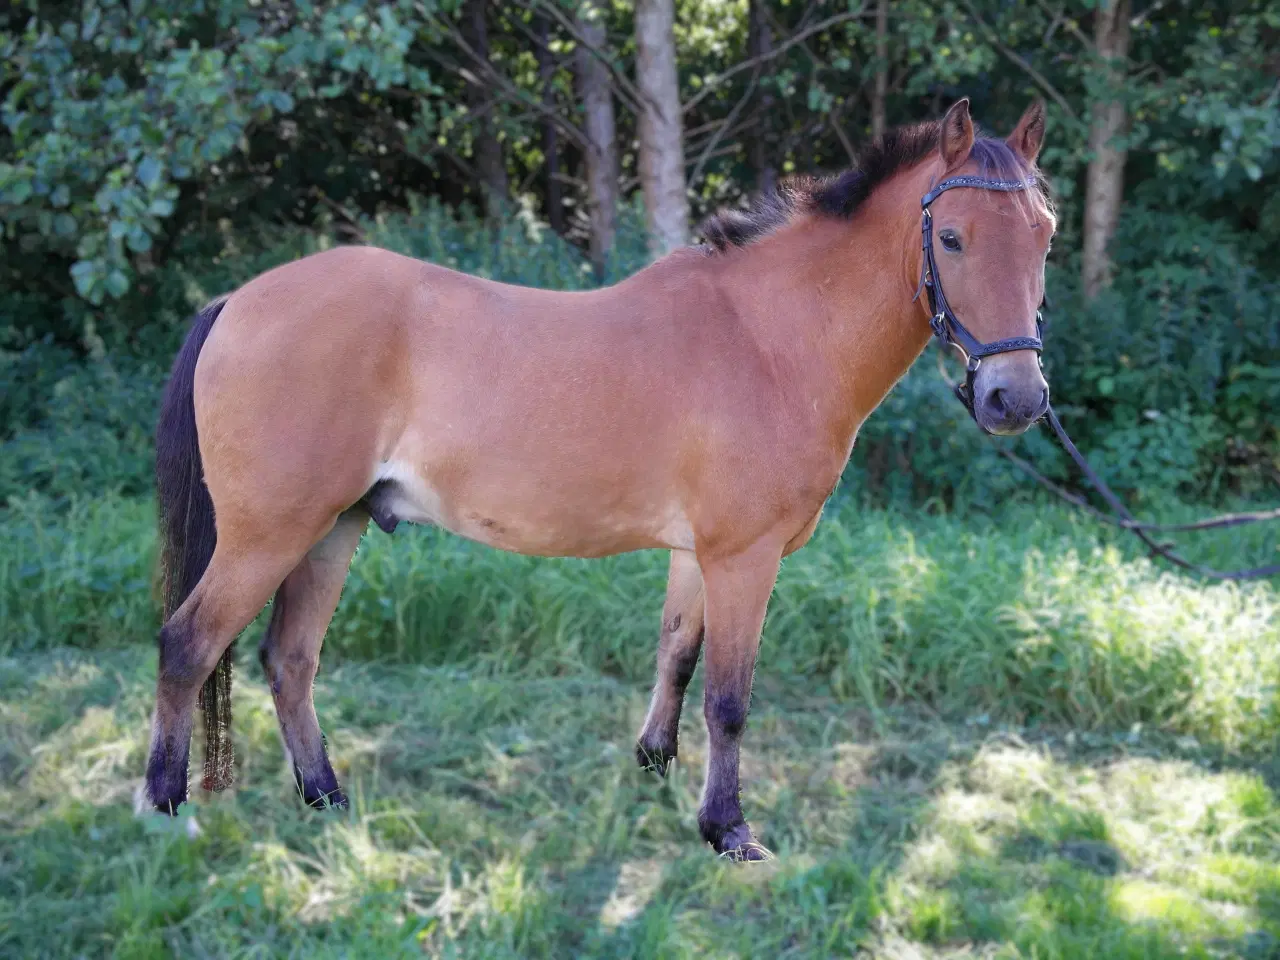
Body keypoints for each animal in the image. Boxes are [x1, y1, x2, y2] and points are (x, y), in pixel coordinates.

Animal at [145, 97, 1054, 861]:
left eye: (1044, 234)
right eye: (952, 238)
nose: (1015, 399)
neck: (770, 336)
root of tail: (236, 302)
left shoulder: (697, 555)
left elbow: (677, 658)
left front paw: (655, 768)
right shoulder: (745, 559)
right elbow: (730, 698)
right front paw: (728, 831)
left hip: (334, 527)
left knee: (290, 659)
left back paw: (325, 798)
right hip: (270, 534)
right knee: (188, 645)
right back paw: (163, 810)